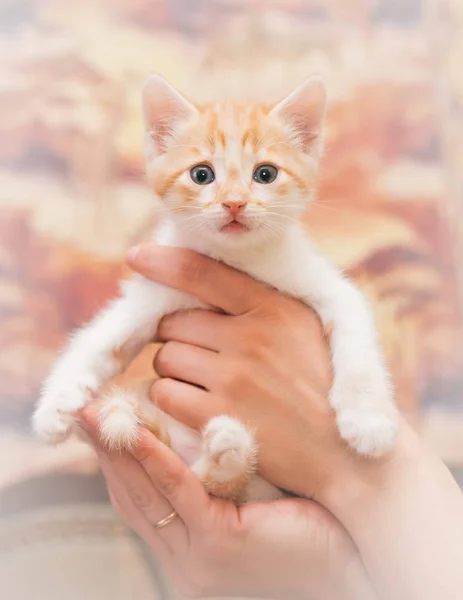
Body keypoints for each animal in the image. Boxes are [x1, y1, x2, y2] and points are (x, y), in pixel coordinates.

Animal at [33, 74, 398, 506]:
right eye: (202, 175)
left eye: (266, 174)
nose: (235, 204)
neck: (233, 259)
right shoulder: (153, 294)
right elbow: (97, 339)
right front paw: (54, 407)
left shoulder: (328, 286)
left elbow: (356, 338)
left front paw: (369, 419)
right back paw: (225, 451)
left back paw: (229, 450)